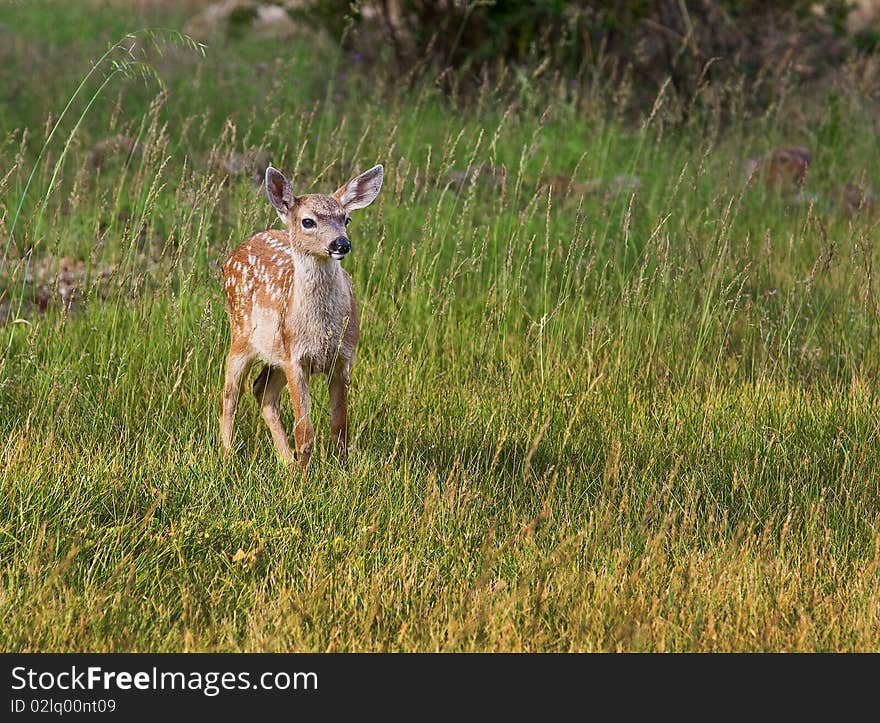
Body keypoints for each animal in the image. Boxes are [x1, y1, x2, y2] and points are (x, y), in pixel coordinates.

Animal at [220, 163, 382, 470]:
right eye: (308, 222)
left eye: (346, 219)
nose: (341, 244)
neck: (321, 330)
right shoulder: (296, 358)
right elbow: (304, 429)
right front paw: (304, 477)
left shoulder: (343, 357)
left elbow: (340, 426)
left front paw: (342, 471)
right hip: (241, 334)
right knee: (230, 393)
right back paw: (227, 454)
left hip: (276, 351)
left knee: (262, 390)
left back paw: (286, 461)